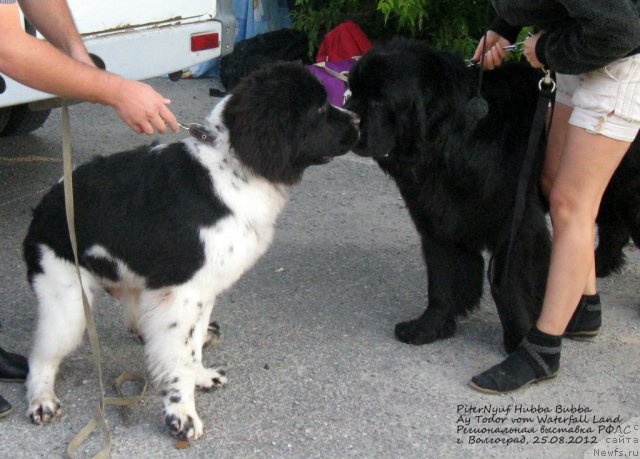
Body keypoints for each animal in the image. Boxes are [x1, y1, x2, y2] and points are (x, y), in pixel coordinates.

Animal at [23, 62, 360, 442]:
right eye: (319, 109)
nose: (358, 119)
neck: (232, 166)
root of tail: (43, 207)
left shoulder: (200, 291)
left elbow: (193, 343)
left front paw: (199, 377)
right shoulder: (182, 293)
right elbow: (180, 359)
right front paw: (181, 415)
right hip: (67, 302)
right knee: (42, 354)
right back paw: (41, 399)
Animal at [344, 38, 640, 356]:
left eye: (378, 100)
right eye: (352, 92)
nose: (348, 115)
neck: (451, 143)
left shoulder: (517, 225)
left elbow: (510, 282)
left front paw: (519, 340)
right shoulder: (435, 215)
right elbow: (441, 276)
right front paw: (430, 326)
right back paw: (601, 265)